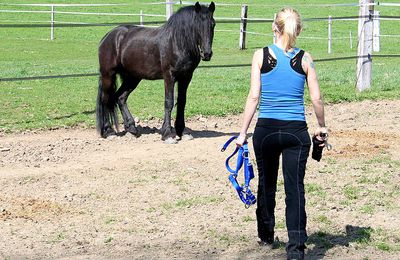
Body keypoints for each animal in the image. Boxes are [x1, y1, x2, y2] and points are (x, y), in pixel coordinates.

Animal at [97, 2, 216, 144]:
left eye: (213, 24)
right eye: (197, 24)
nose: (207, 54)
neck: (177, 42)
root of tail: (108, 36)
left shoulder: (186, 77)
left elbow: (182, 102)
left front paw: (182, 131)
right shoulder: (169, 76)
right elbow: (169, 102)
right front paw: (168, 134)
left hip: (132, 77)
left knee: (120, 98)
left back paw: (131, 129)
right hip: (108, 75)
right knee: (105, 99)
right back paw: (109, 131)